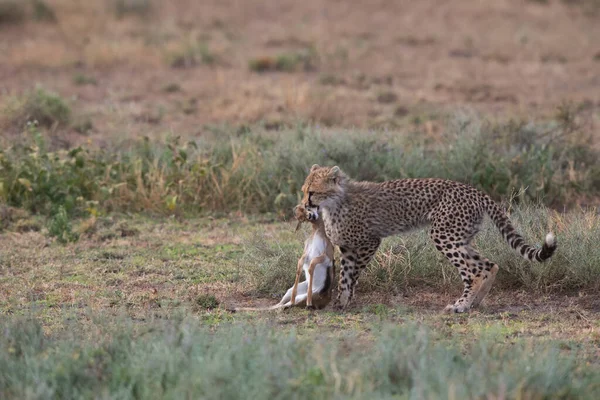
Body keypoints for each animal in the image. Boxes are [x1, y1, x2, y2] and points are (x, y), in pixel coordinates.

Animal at [302, 165, 556, 312]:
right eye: (304, 190)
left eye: (312, 192)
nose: (304, 204)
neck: (335, 202)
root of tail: (474, 190)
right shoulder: (347, 247)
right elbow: (346, 274)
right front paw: (342, 300)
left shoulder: (369, 242)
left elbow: (351, 275)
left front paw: (345, 300)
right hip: (460, 237)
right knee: (489, 265)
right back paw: (475, 303)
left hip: (444, 235)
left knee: (473, 271)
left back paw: (462, 305)